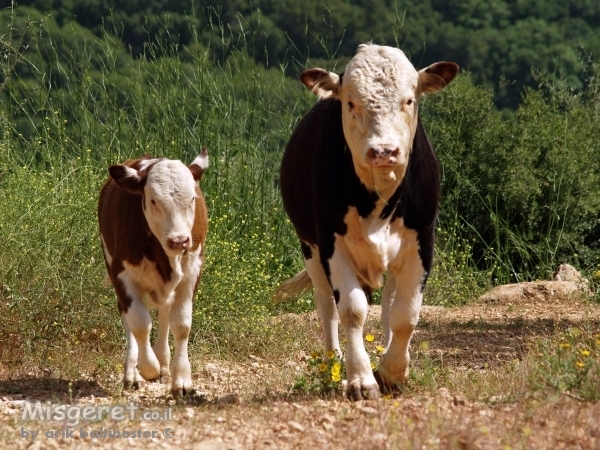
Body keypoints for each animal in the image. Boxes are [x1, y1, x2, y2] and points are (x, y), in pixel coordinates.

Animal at [98, 150, 209, 398]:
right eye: (153, 200)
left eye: (192, 199)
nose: (179, 240)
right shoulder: (121, 273)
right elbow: (139, 323)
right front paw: (148, 367)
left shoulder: (192, 271)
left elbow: (181, 324)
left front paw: (182, 379)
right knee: (128, 317)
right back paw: (133, 373)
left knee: (165, 313)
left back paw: (164, 361)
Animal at [274, 44, 458, 400]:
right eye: (350, 102)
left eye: (409, 100)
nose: (384, 151)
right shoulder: (331, 242)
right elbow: (352, 310)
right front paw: (360, 379)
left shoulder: (422, 241)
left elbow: (405, 314)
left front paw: (392, 372)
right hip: (310, 247)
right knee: (325, 304)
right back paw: (332, 362)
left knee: (388, 304)